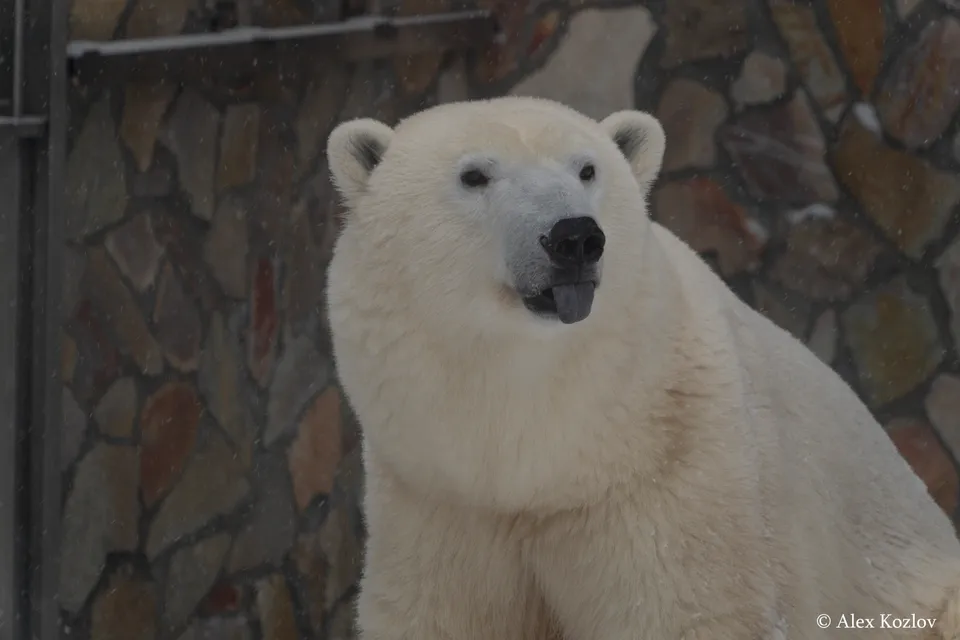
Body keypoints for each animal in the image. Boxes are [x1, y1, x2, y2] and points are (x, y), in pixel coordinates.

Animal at [324, 96, 960, 639]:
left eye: (587, 169)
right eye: (474, 175)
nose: (574, 236)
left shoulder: (667, 471)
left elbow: (688, 609)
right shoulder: (440, 499)